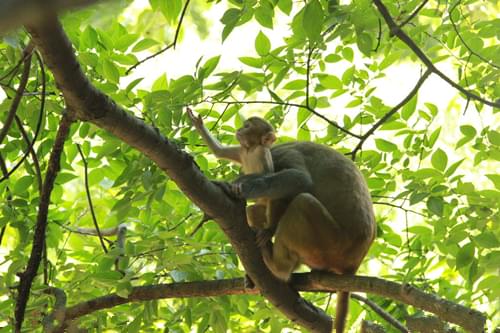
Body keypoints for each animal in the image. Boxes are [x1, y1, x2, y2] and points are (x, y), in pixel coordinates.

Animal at [230, 141, 376, 330]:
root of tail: (354, 263)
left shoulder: (285, 155)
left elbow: (299, 181)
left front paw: (248, 187)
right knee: (259, 211)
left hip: (331, 243)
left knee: (301, 202)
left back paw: (278, 267)